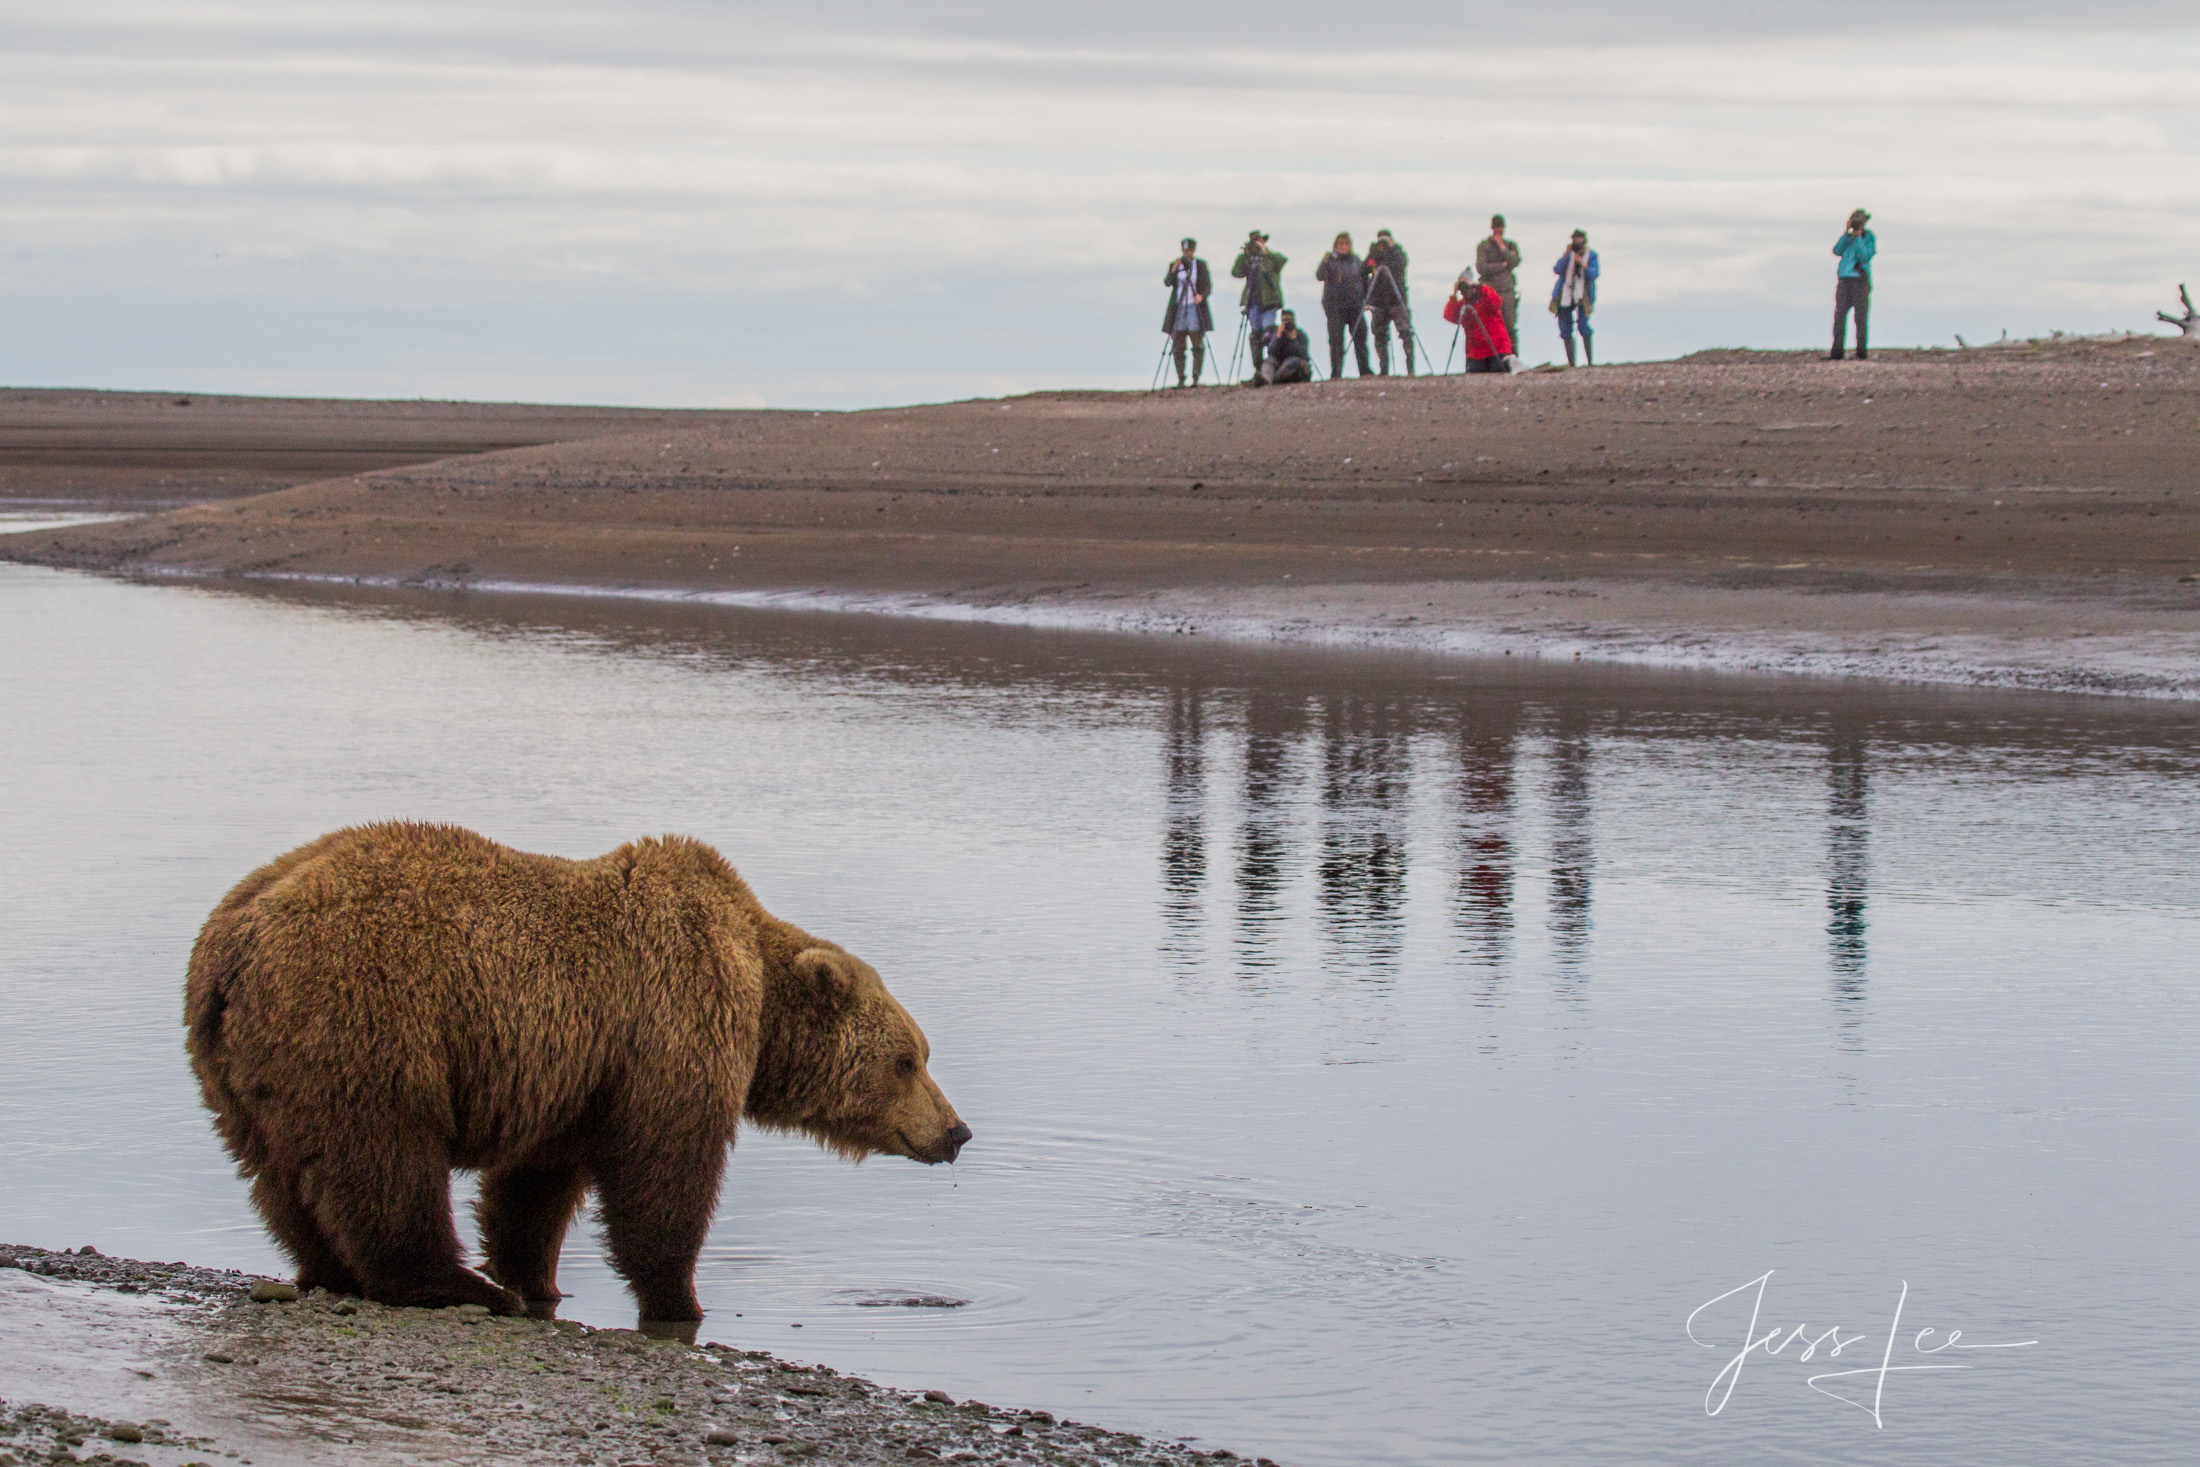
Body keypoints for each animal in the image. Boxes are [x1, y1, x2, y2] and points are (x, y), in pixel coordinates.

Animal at [184, 826, 976, 1328]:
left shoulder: (576, 1076)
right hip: (369, 1013)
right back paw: (449, 1282)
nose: (957, 1130)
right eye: (908, 1059)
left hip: (243, 1064)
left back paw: (333, 1267)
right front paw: (678, 1298)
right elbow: (665, 1170)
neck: (757, 989)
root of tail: (234, 938)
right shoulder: (670, 1021)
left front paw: (537, 1276)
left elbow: (534, 1188)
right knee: (383, 1156)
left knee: (280, 1171)